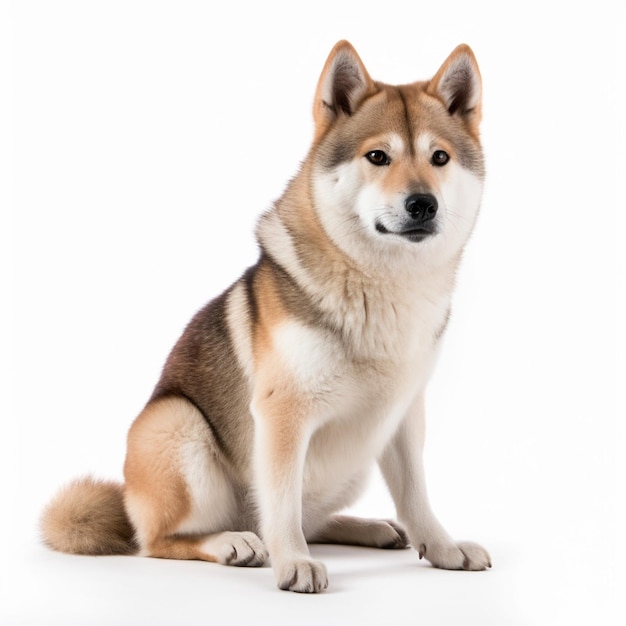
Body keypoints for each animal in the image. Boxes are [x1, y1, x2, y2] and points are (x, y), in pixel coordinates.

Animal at [41, 40, 492, 588]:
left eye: (440, 157)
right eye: (377, 156)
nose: (423, 203)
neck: (383, 287)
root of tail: (127, 504)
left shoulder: (403, 416)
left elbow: (416, 495)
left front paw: (444, 549)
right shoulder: (283, 414)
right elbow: (280, 502)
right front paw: (293, 562)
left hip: (353, 463)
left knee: (312, 518)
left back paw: (369, 527)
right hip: (176, 425)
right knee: (163, 541)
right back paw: (231, 542)